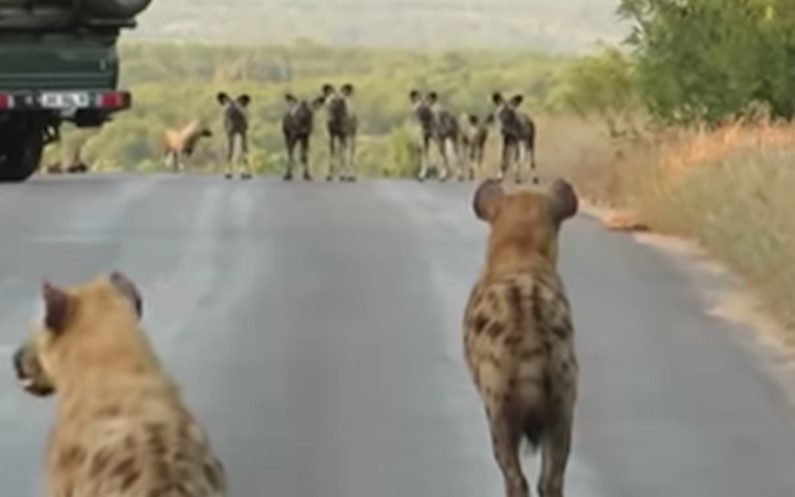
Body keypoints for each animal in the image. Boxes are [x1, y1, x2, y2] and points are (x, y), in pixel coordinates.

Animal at [464, 178, 580, 496]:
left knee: (515, 476)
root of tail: (531, 347)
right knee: (552, 478)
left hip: (498, 405)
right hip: (563, 399)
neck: (520, 250)